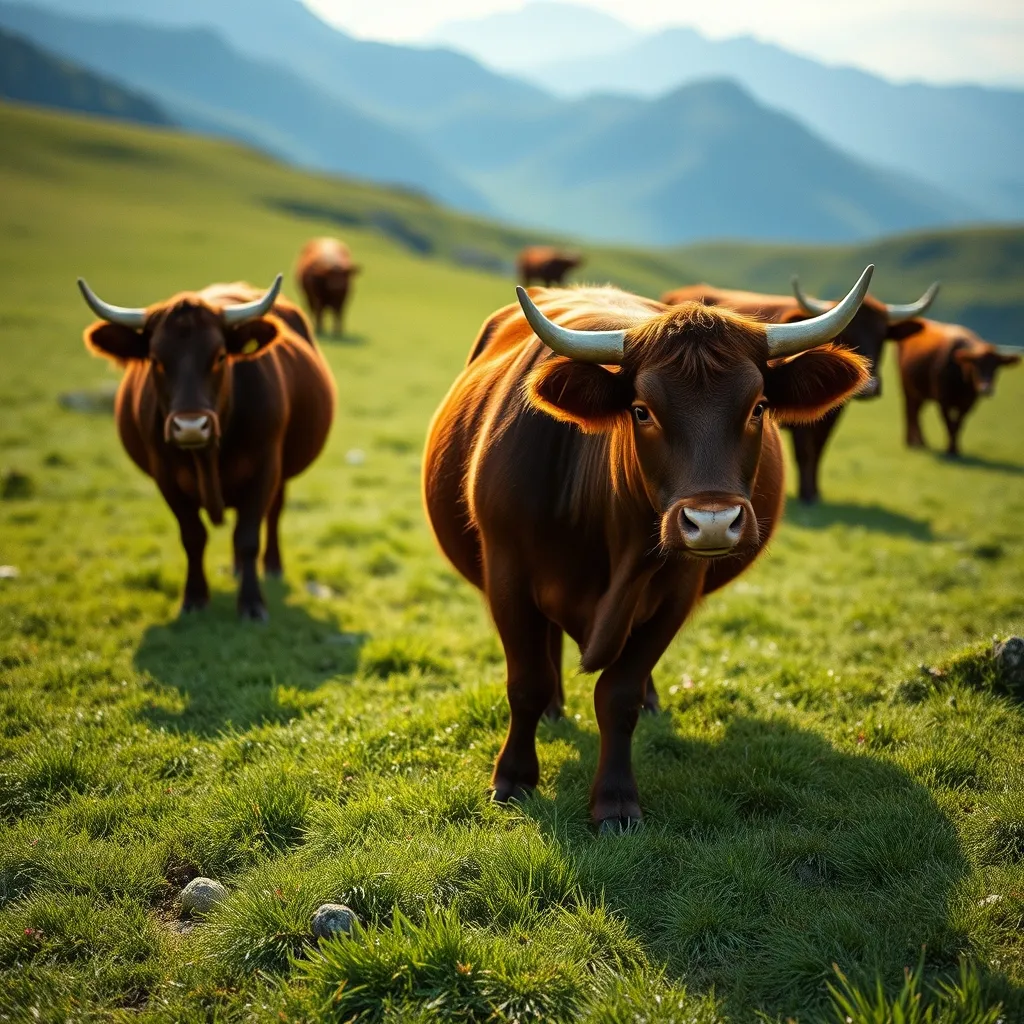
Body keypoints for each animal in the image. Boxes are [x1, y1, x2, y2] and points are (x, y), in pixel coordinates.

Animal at [77, 276, 335, 621]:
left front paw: (252, 603)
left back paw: (271, 566)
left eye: (220, 356)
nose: (190, 426)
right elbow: (193, 536)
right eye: (156, 360)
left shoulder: (266, 468)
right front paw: (195, 597)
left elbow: (248, 536)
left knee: (273, 513)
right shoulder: (166, 478)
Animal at [423, 267, 874, 831]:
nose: (711, 523)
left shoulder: (675, 592)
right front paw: (513, 778)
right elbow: (526, 681)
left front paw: (616, 801)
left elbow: (619, 695)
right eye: (641, 411)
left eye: (758, 408)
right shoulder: (507, 575)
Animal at [661, 278, 938, 503]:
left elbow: (819, 451)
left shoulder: (829, 418)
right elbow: (805, 452)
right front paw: (806, 496)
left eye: (882, 336)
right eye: (846, 335)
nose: (870, 386)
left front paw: (815, 492)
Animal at [897, 319, 1021, 456]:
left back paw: (922, 443)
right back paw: (911, 442)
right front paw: (950, 450)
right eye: (976, 364)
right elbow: (949, 424)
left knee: (916, 412)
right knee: (909, 411)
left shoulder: (968, 403)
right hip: (906, 387)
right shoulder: (943, 401)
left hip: (921, 392)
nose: (986, 388)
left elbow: (959, 424)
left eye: (996, 366)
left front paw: (956, 449)